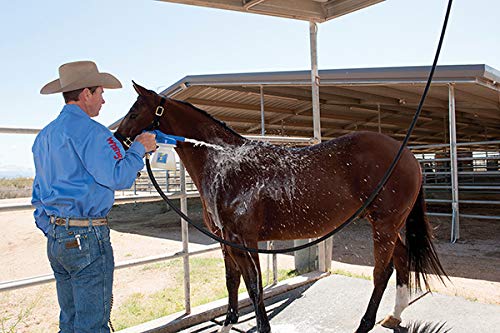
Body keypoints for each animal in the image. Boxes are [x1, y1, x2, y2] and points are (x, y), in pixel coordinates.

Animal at [116, 81, 446, 332]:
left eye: (134, 111)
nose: (117, 140)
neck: (224, 161)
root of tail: (409, 156)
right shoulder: (227, 241)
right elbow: (234, 281)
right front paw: (228, 323)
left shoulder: (241, 239)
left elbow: (253, 284)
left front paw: (263, 327)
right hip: (385, 225)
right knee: (401, 260)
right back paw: (395, 315)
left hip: (385, 225)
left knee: (382, 271)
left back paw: (365, 324)